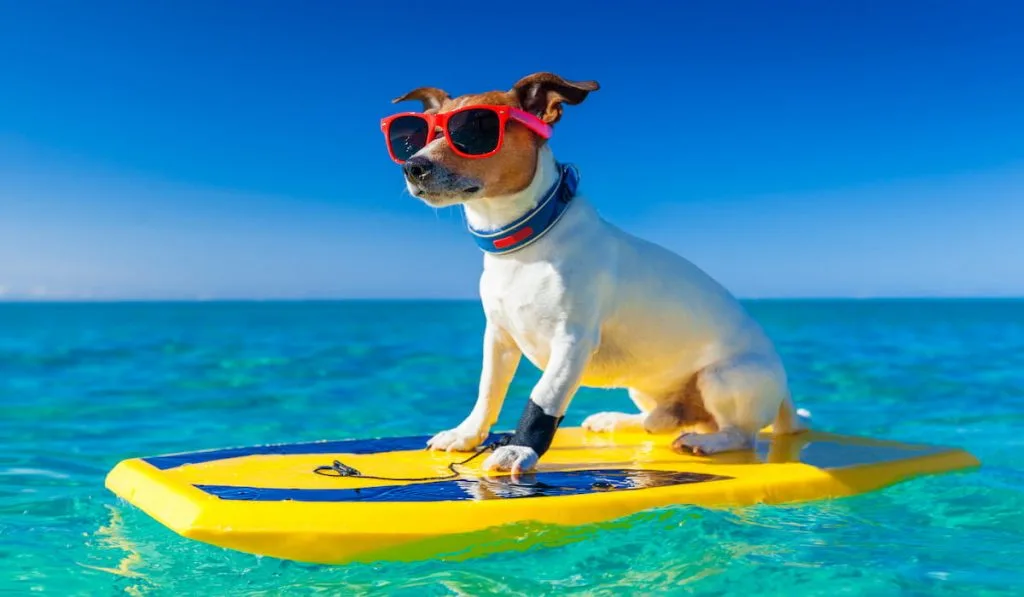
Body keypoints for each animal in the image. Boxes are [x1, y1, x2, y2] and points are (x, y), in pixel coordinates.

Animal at [380, 72, 802, 479]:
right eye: (419, 136)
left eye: (471, 131)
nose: (413, 166)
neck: (524, 246)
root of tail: (785, 393)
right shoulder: (499, 337)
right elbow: (488, 392)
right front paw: (466, 435)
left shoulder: (572, 342)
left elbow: (544, 396)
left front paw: (519, 448)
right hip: (645, 388)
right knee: (657, 421)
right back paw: (620, 419)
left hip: (725, 376)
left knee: (740, 434)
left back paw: (707, 442)